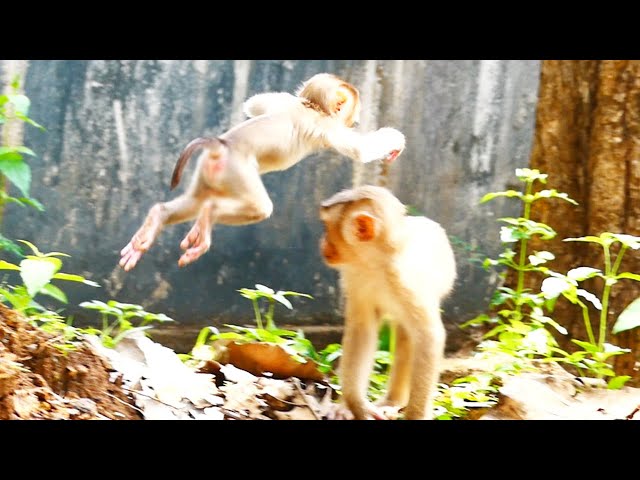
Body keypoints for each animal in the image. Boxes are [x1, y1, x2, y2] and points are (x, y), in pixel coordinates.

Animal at [120, 73, 404, 272]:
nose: (355, 120)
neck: (311, 106)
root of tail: (222, 145)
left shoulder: (287, 102)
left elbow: (255, 104)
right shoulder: (330, 129)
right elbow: (362, 151)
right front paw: (395, 141)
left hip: (208, 172)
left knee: (193, 202)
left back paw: (159, 220)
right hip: (238, 172)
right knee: (253, 207)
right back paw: (210, 214)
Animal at [318, 186, 458, 418]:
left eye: (328, 228)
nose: (322, 242)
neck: (377, 263)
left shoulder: (407, 282)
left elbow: (428, 337)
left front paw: (416, 415)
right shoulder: (354, 275)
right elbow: (362, 331)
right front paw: (356, 405)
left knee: (407, 336)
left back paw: (394, 400)